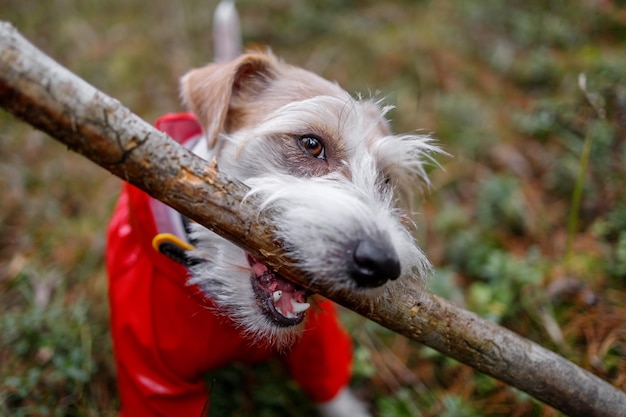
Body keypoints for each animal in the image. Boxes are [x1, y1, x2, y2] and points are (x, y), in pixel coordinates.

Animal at [105, 1, 436, 414]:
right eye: (311, 144)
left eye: (386, 180)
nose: (382, 263)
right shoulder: (151, 376)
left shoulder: (319, 347)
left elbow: (333, 389)